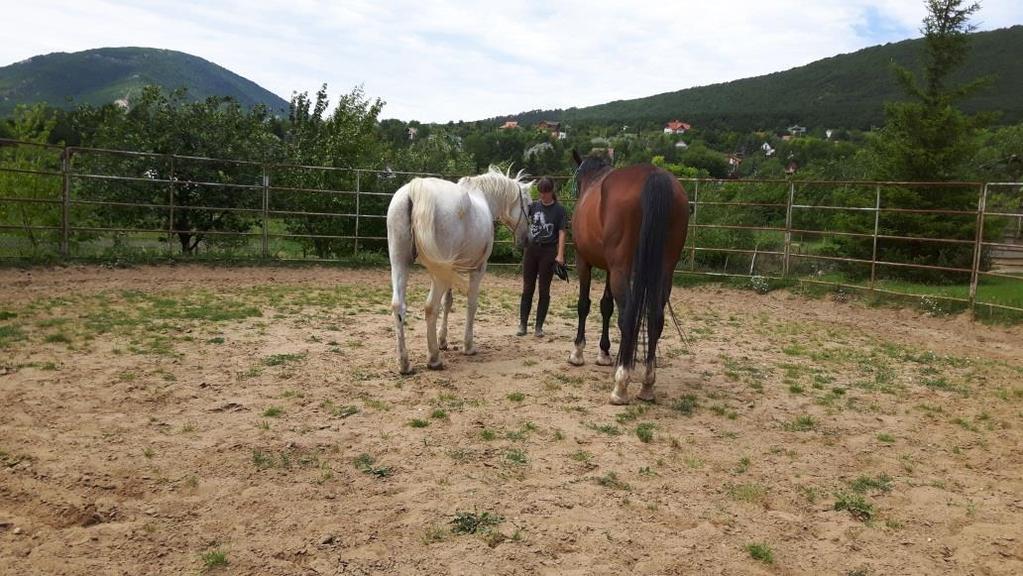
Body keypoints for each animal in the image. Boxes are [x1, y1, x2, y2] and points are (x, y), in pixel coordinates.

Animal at [382, 166, 527, 374]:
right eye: (528, 206)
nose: (526, 239)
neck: (483, 197)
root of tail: (415, 190)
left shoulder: (450, 270)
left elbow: (448, 302)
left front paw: (443, 341)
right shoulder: (478, 269)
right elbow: (471, 304)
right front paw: (468, 346)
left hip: (401, 263)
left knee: (399, 306)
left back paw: (405, 364)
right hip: (437, 273)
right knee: (430, 307)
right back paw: (434, 359)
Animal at [564, 153, 691, 405]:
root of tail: (654, 176)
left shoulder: (584, 261)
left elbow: (584, 305)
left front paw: (577, 352)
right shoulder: (609, 268)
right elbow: (606, 306)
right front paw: (604, 353)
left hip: (622, 270)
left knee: (628, 317)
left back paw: (621, 385)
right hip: (663, 272)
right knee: (655, 319)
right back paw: (647, 385)